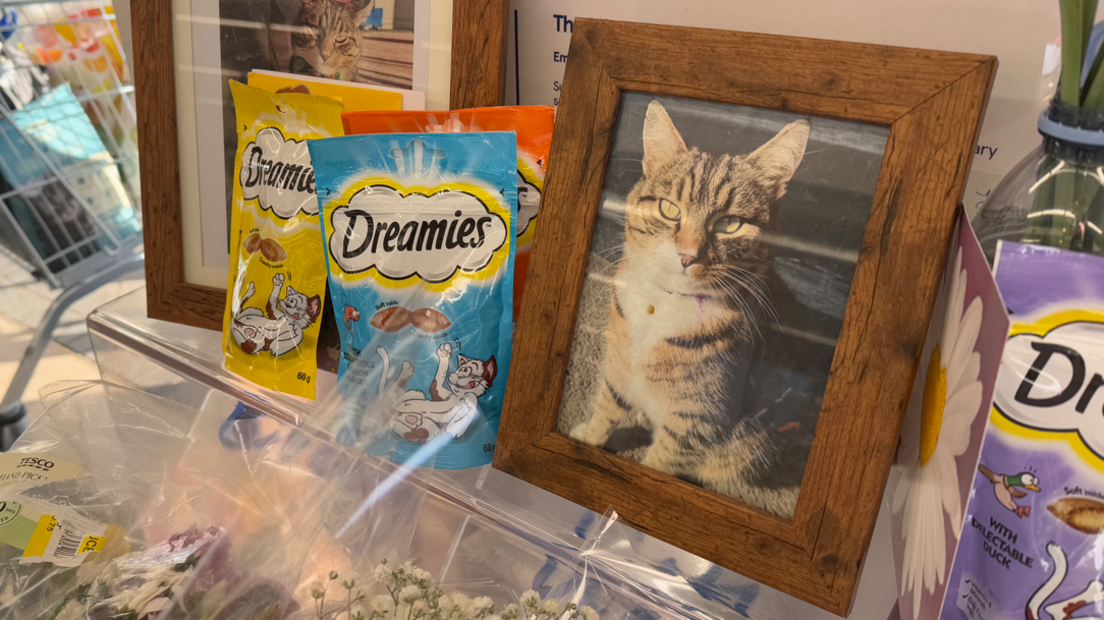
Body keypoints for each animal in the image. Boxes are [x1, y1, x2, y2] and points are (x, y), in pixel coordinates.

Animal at [574, 100, 816, 516]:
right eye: (670, 209)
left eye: (730, 224)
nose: (688, 256)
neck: (665, 305)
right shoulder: (618, 369)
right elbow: (606, 409)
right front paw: (588, 439)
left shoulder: (698, 420)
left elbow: (660, 463)